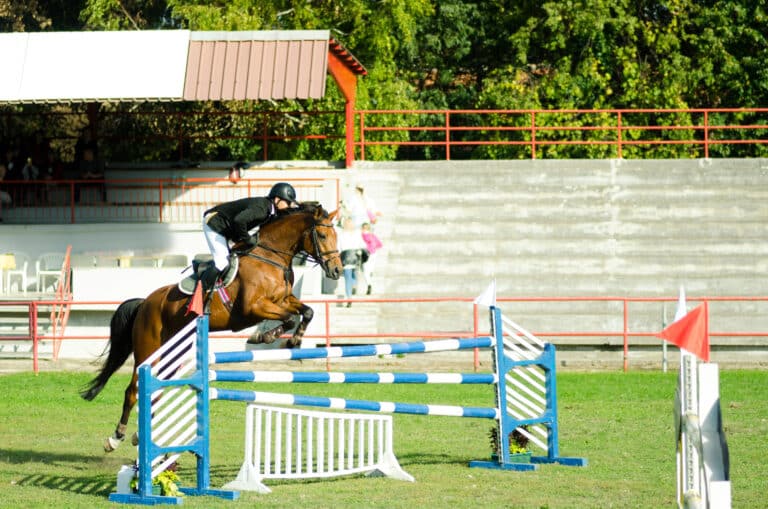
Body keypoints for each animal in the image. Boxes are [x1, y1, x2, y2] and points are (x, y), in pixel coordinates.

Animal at [79, 200, 340, 450]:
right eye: (323, 235)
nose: (336, 270)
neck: (271, 258)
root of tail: (145, 303)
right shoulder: (253, 308)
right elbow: (288, 318)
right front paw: (264, 337)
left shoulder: (284, 301)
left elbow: (306, 311)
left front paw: (293, 340)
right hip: (149, 350)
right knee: (133, 390)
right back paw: (116, 437)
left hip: (171, 353)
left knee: (156, 389)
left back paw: (140, 436)